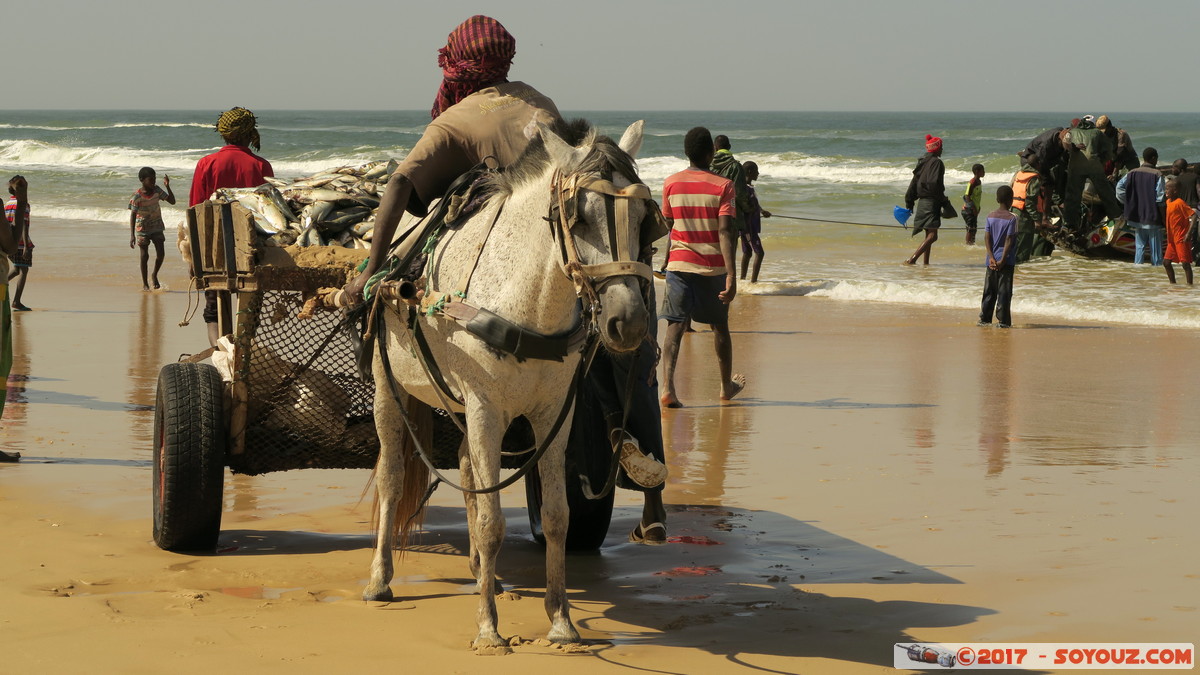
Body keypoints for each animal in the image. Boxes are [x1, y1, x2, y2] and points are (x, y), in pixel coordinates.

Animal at [362, 118, 652, 648]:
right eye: (579, 217)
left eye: (645, 217)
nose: (629, 322)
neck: (527, 303)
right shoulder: (485, 408)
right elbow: (492, 521)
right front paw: (488, 628)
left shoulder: (555, 414)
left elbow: (557, 517)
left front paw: (561, 621)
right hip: (389, 387)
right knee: (392, 475)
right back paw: (380, 579)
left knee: (466, 466)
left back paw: (485, 573)